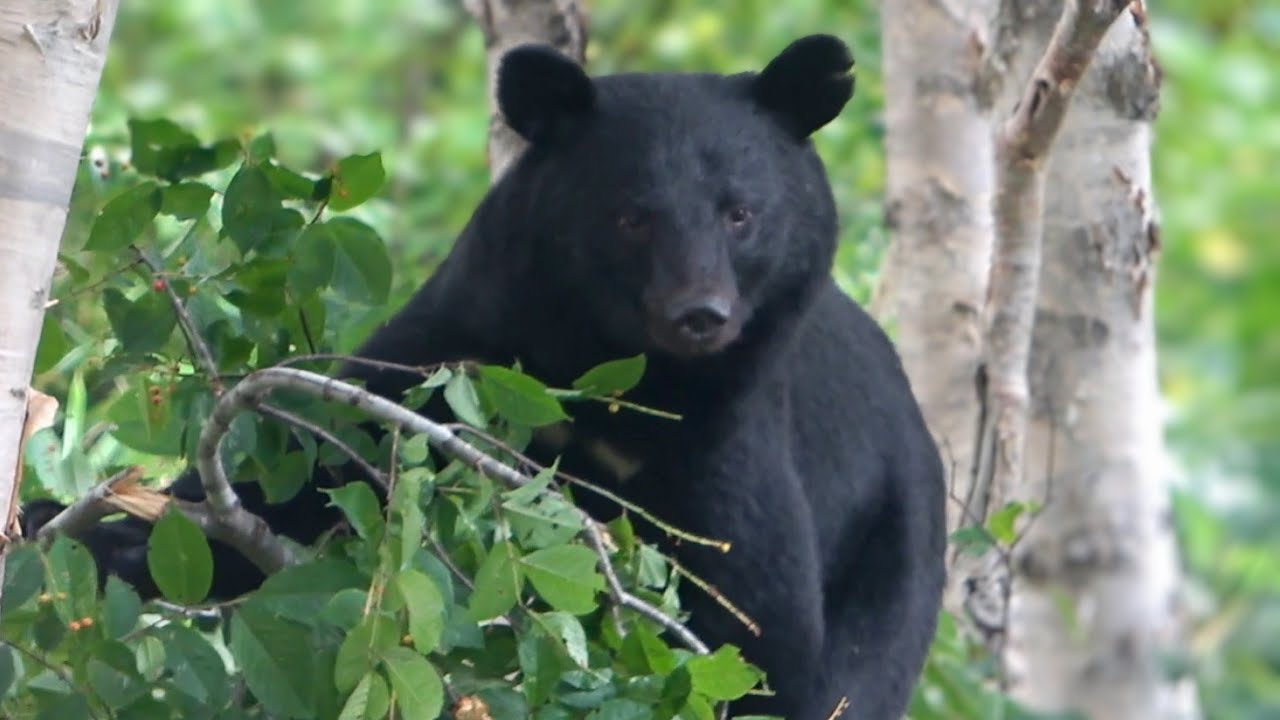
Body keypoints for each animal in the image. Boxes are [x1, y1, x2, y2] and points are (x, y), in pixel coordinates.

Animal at [24, 35, 946, 720]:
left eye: (741, 213)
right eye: (632, 216)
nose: (700, 314)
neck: (621, 383)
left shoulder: (731, 446)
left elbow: (757, 636)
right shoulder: (459, 344)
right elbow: (312, 470)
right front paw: (83, 528)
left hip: (892, 555)